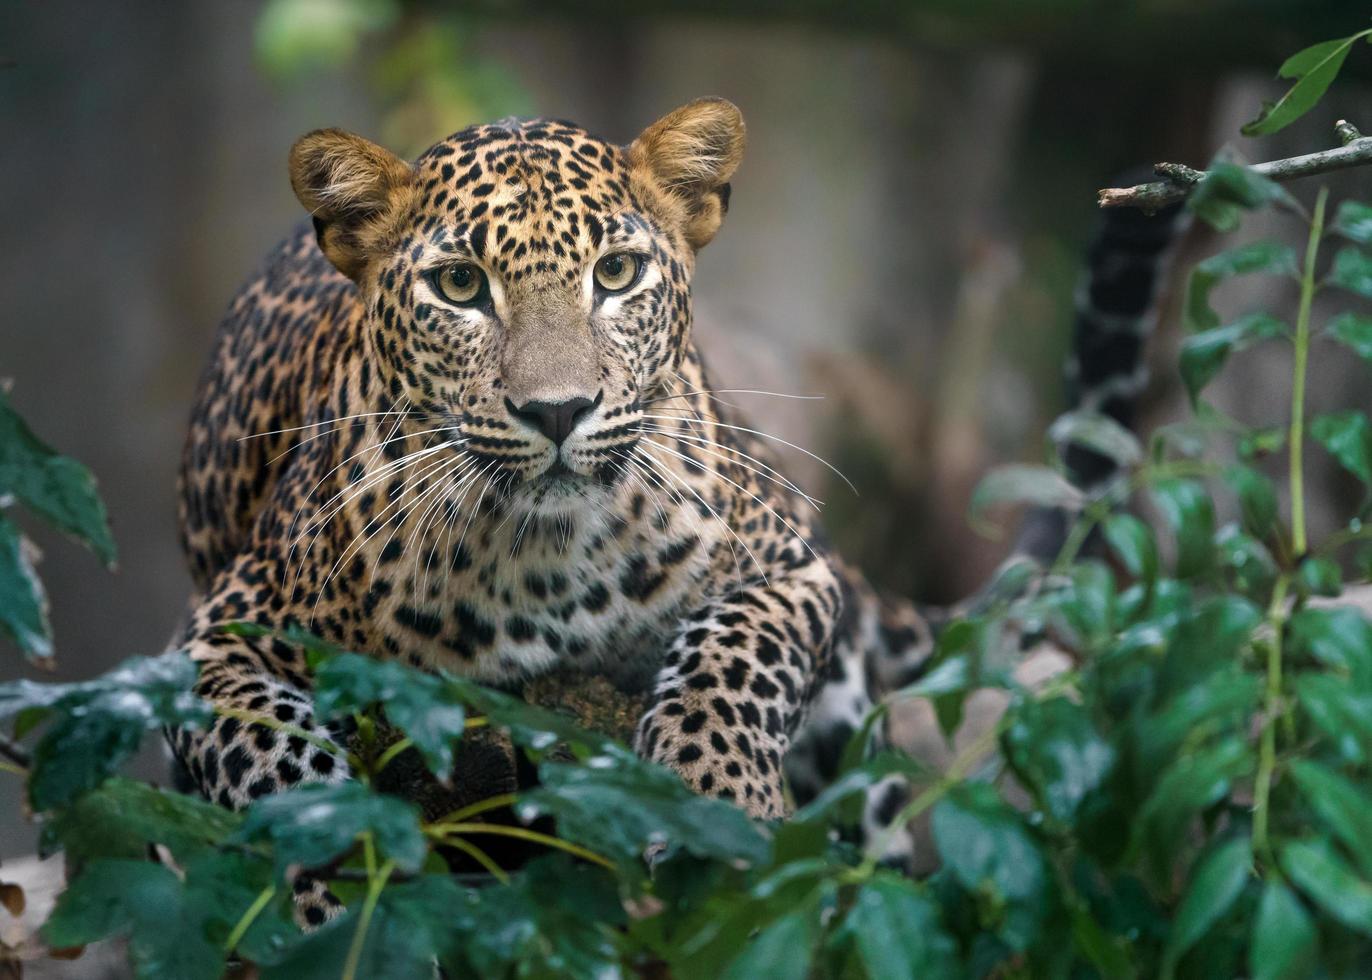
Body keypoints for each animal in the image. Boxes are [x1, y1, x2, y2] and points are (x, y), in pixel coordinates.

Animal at [168, 97, 1179, 916]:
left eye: (617, 273)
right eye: (459, 286)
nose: (558, 411)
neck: (541, 558)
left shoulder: (790, 566)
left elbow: (733, 660)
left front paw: (719, 802)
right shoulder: (219, 633)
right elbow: (274, 765)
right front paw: (324, 889)